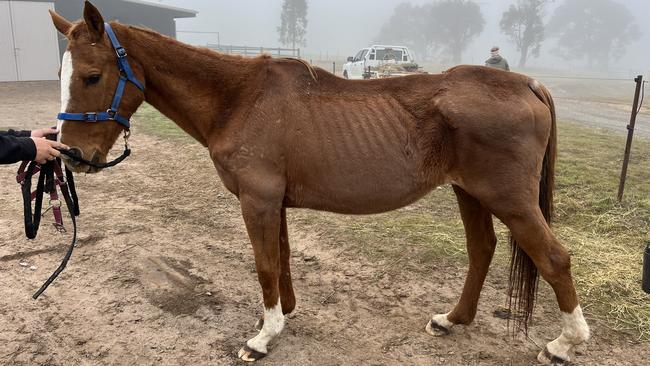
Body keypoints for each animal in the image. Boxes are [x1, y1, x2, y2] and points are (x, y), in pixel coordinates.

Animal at [49, 2, 588, 364]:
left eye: (93, 76)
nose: (72, 156)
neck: (239, 99)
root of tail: (526, 83)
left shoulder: (258, 201)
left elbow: (265, 264)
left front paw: (261, 338)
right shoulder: (275, 203)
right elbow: (282, 259)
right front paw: (281, 316)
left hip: (508, 197)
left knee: (554, 258)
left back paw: (564, 344)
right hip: (470, 192)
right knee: (482, 250)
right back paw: (452, 320)